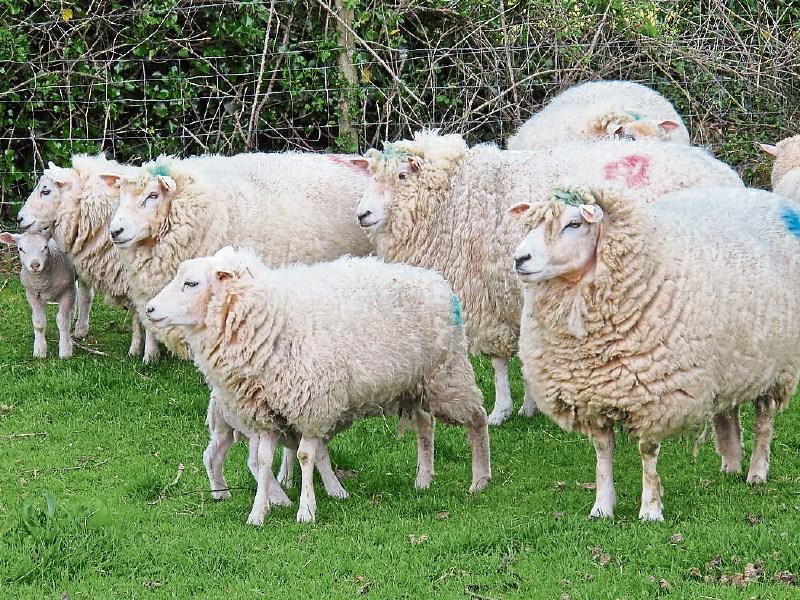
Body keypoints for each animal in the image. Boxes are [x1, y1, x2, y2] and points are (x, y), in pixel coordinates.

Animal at [0, 229, 80, 359]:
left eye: (45, 247)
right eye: (20, 249)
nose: (35, 265)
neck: (42, 282)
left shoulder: (67, 292)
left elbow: (62, 322)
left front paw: (65, 351)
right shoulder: (32, 295)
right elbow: (39, 323)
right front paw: (39, 351)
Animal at [16, 154, 159, 360]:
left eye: (46, 191)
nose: (19, 218)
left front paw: (150, 354)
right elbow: (137, 313)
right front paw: (136, 348)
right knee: (85, 295)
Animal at [145, 248, 491, 524]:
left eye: (191, 283)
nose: (148, 309)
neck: (268, 317)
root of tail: (438, 282)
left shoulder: (312, 406)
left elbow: (304, 457)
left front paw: (306, 510)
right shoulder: (266, 413)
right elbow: (263, 460)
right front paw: (258, 513)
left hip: (447, 374)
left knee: (477, 418)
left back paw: (480, 479)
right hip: (416, 383)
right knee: (425, 426)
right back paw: (423, 479)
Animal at [352, 130, 743, 425]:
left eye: (402, 176)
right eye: (372, 176)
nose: (362, 214)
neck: (453, 196)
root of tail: (724, 173)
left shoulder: (487, 298)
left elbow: (499, 363)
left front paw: (501, 411)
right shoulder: (515, 293)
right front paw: (529, 406)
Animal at [510, 185, 800, 521]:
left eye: (574, 223)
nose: (519, 258)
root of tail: (763, 194)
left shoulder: (655, 398)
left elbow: (647, 454)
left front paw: (650, 509)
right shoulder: (593, 396)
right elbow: (602, 453)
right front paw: (602, 506)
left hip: (779, 367)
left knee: (764, 422)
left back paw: (757, 472)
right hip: (733, 362)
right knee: (728, 411)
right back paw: (730, 464)